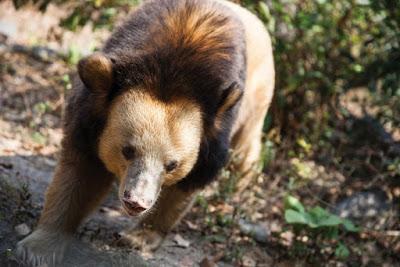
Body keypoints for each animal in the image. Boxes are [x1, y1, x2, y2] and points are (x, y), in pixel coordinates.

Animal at [18, 0, 276, 266]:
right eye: (127, 150)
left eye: (172, 164)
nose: (136, 203)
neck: (171, 73)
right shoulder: (92, 113)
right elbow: (82, 171)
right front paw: (38, 250)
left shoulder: (215, 128)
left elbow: (189, 182)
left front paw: (137, 238)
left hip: (258, 96)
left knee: (246, 150)